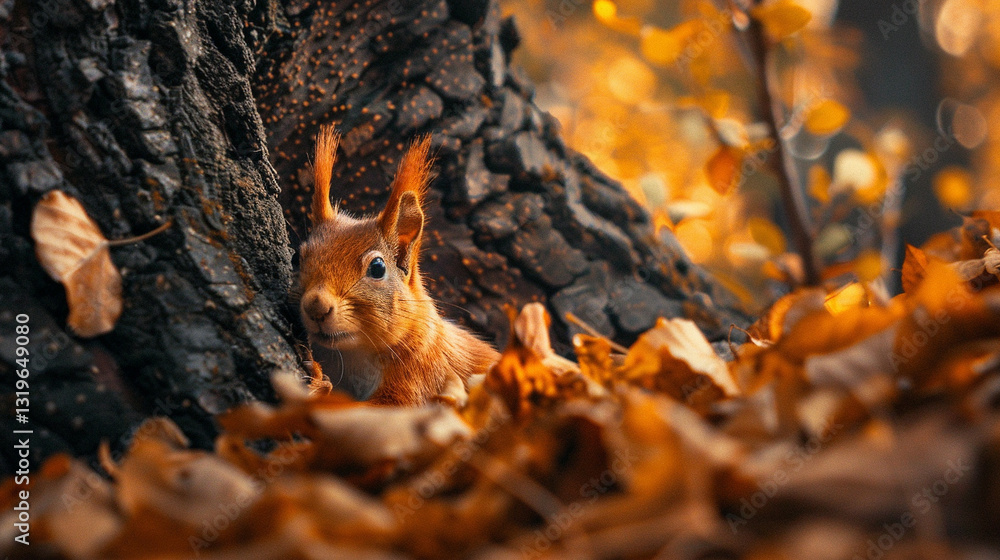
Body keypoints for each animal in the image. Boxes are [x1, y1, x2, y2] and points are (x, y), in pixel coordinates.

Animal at [298, 126, 500, 406]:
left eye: (377, 268)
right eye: (299, 257)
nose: (316, 306)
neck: (355, 356)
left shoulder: (422, 376)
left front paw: (318, 384)